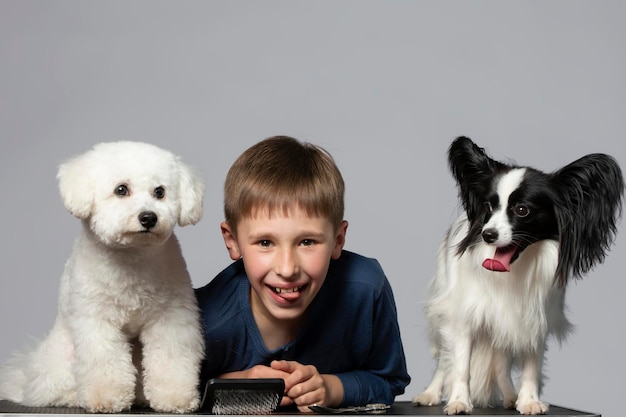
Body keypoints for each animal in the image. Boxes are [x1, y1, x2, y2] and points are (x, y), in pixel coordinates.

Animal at [0, 142, 206, 412]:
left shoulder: (170, 318)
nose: (149, 217)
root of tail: (26, 380)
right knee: (54, 389)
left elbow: (170, 359)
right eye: (121, 190)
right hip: (63, 360)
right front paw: (106, 397)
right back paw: (74, 396)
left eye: (160, 192)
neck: (132, 258)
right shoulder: (97, 321)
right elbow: (104, 362)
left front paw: (174, 397)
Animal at [412, 136, 620, 412]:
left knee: (500, 364)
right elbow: (460, 365)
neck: (512, 270)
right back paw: (430, 393)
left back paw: (511, 397)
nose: (487, 234)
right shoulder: (462, 317)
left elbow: (531, 367)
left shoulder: (533, 319)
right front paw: (458, 401)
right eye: (488, 206)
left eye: (522, 210)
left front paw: (528, 401)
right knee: (444, 361)